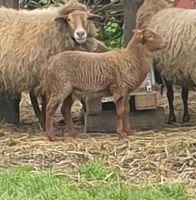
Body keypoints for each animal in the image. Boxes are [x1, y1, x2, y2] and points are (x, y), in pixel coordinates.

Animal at [38, 28, 167, 141]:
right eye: (149, 36)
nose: (165, 43)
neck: (132, 58)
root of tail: (49, 63)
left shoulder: (126, 92)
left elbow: (126, 111)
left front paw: (129, 132)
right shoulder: (119, 89)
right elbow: (120, 112)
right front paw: (121, 134)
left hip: (71, 91)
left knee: (65, 109)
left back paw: (73, 134)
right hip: (59, 87)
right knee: (50, 109)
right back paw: (51, 136)